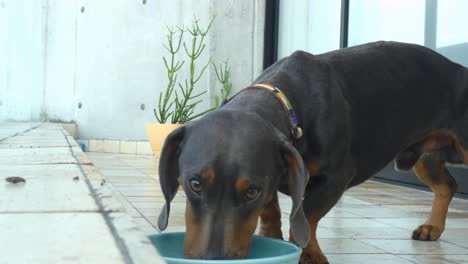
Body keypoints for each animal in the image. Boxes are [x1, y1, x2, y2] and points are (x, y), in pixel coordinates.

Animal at [156, 40, 468, 262]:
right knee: (447, 185)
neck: (287, 102)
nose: (214, 257)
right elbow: (272, 213)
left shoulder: (335, 179)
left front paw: (309, 254)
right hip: (426, 158)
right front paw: (273, 236)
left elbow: (305, 215)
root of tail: (459, 68)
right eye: (194, 184)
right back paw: (432, 227)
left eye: (251, 191)